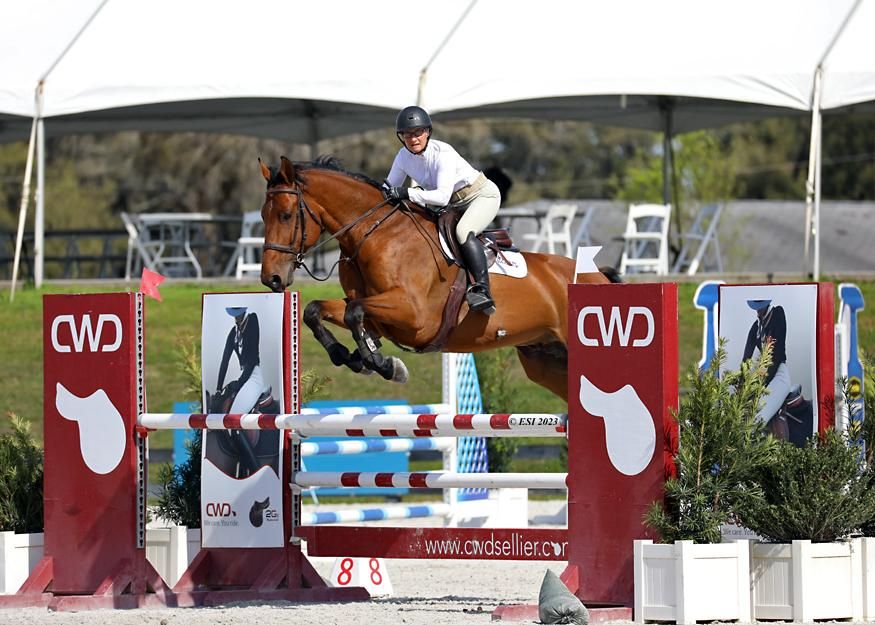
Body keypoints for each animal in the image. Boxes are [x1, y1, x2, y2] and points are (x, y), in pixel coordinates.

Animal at [258, 155, 616, 400]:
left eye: (286, 215)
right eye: (263, 215)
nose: (271, 279)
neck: (375, 234)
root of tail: (597, 276)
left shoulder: (415, 316)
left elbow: (354, 312)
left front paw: (382, 364)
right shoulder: (380, 314)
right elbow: (317, 311)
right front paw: (354, 358)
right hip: (546, 361)